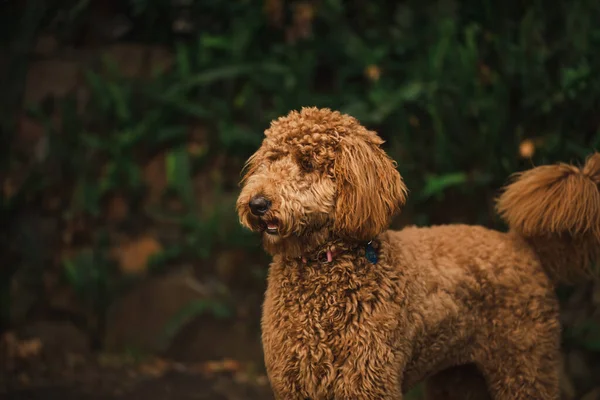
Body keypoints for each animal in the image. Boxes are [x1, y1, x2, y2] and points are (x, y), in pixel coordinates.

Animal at [236, 107, 600, 400]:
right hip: (459, 378)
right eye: (270, 160)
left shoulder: (366, 381)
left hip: (525, 364)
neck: (322, 267)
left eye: (308, 163)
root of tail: (520, 243)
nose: (257, 204)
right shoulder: (294, 382)